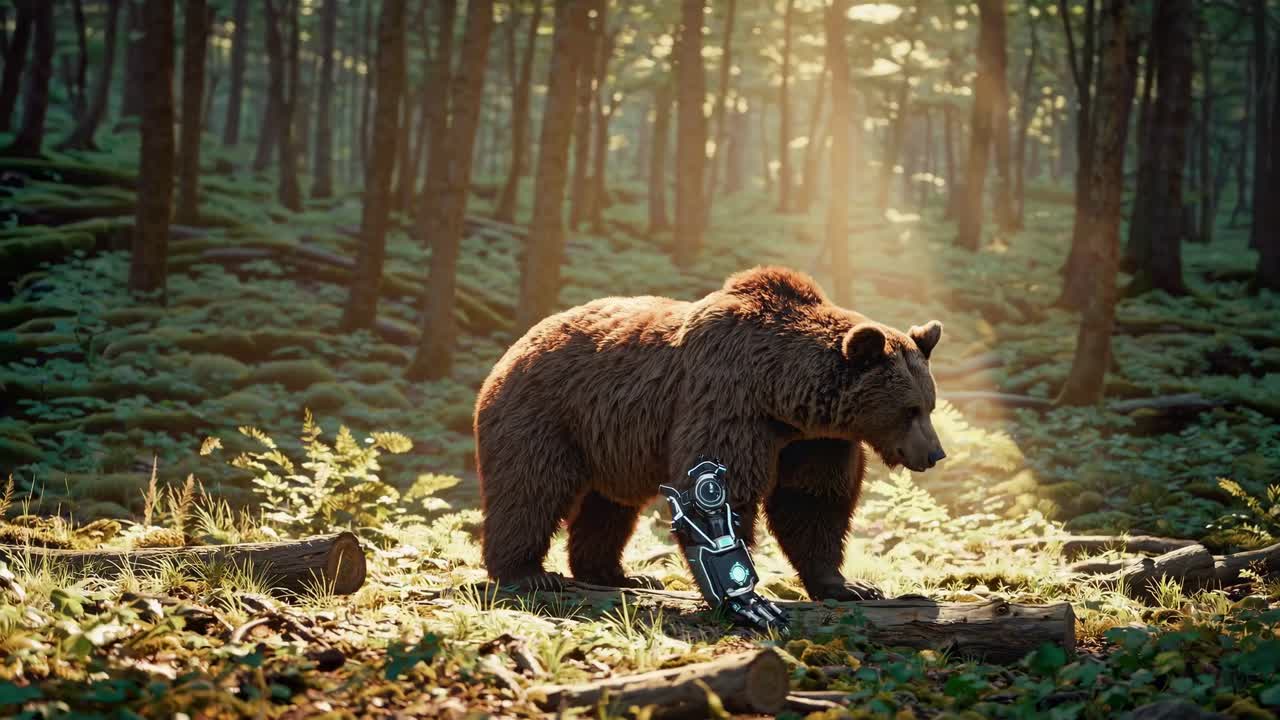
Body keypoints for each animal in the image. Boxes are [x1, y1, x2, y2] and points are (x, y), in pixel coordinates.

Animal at [474, 266, 946, 601]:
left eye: (929, 405)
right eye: (909, 409)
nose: (934, 454)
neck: (781, 395)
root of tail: (514, 348)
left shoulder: (815, 442)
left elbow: (812, 502)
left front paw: (849, 585)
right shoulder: (727, 403)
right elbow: (722, 489)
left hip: (606, 443)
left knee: (608, 507)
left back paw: (620, 574)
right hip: (549, 414)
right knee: (531, 487)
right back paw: (528, 574)